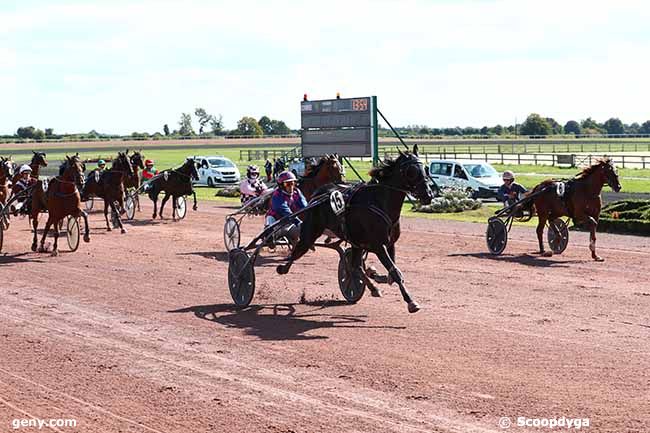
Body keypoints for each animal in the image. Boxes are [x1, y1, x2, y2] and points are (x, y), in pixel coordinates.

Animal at [276, 144, 432, 310]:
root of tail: (317, 195)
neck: (379, 201)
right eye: (411, 171)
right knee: (299, 249)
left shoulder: (389, 243)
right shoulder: (379, 246)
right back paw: (283, 267)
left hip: (355, 242)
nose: (428, 195)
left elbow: (391, 270)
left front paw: (379, 277)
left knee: (355, 266)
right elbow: (395, 272)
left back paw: (373, 287)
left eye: (425, 168)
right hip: (310, 232)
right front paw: (411, 301)